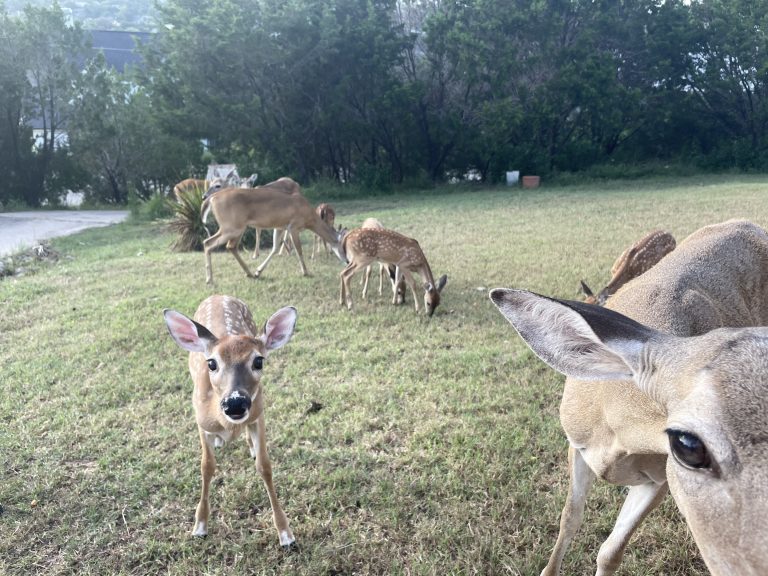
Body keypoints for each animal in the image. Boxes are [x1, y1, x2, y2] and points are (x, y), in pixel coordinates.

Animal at [163, 296, 298, 546]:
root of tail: (217, 295)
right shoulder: (200, 421)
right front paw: (200, 526)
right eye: (212, 363)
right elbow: (207, 466)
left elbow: (265, 466)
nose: (235, 403)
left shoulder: (259, 414)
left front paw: (285, 534)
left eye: (258, 361)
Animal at [200, 183, 345, 284]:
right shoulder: (294, 226)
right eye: (343, 248)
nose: (347, 261)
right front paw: (305, 272)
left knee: (230, 246)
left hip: (235, 228)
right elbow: (299, 250)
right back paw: (209, 279)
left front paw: (258, 271)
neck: (310, 217)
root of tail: (212, 198)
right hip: (232, 227)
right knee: (208, 243)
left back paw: (250, 273)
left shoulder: (280, 227)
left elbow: (275, 248)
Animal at [490, 219, 768, 576]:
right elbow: (569, 519)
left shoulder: (660, 479)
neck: (614, 430)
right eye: (688, 446)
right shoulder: (575, 444)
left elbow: (610, 552)